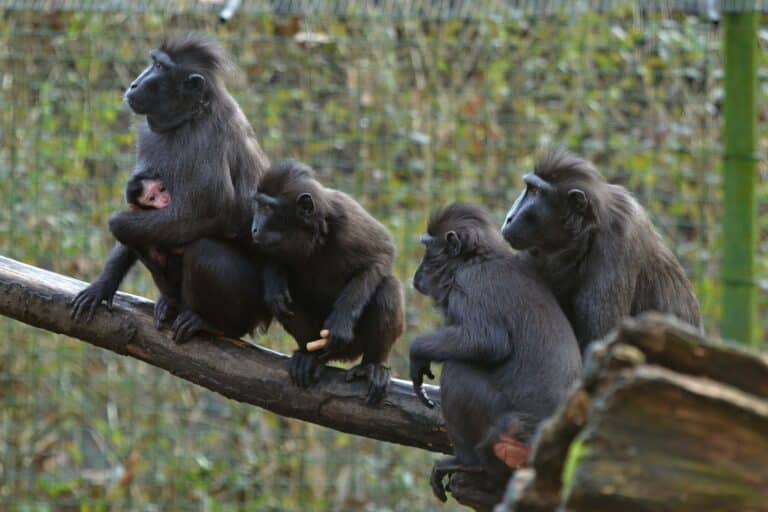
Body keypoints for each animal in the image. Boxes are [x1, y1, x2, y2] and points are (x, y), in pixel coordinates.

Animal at [70, 35, 272, 340]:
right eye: (153, 62)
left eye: (160, 67)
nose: (134, 84)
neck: (191, 115)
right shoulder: (149, 135)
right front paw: (102, 285)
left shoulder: (206, 140)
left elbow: (213, 215)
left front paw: (118, 222)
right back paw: (171, 303)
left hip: (249, 306)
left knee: (203, 249)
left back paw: (210, 323)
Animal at [252, 160, 408, 404]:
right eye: (257, 206)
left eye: (267, 209)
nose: (254, 228)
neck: (312, 234)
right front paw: (275, 283)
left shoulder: (347, 219)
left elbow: (381, 255)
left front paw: (341, 322)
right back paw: (311, 356)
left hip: (355, 343)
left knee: (388, 287)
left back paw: (372, 366)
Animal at [412, 203, 580, 504]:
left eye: (428, 252)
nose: (416, 277)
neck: (476, 258)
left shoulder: (469, 283)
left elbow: (487, 341)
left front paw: (417, 352)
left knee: (458, 369)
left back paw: (468, 462)